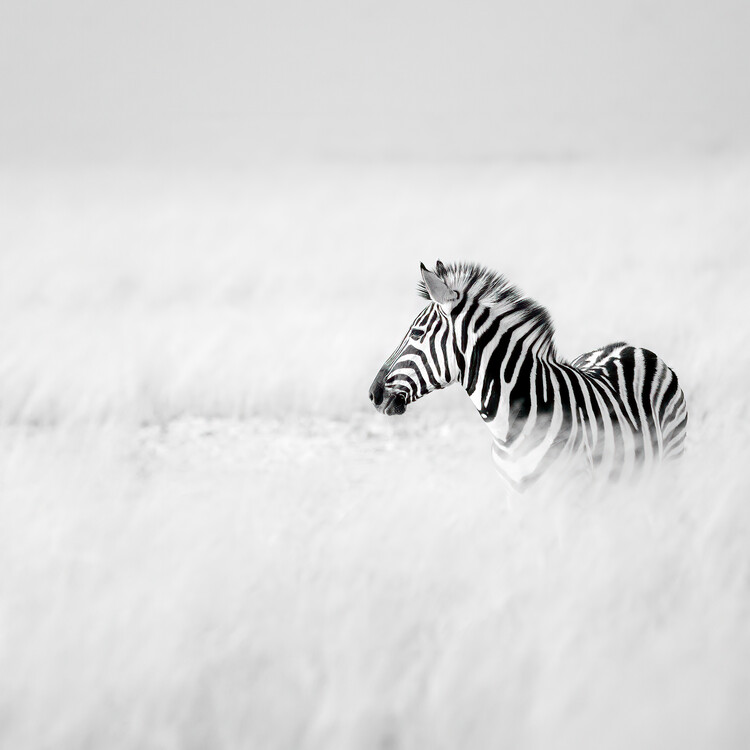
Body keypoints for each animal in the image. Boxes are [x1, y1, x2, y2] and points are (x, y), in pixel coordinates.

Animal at [368, 261, 688, 490]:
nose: (373, 394)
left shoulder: (573, 491)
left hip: (670, 463)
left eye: (416, 333)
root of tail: (628, 346)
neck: (508, 428)